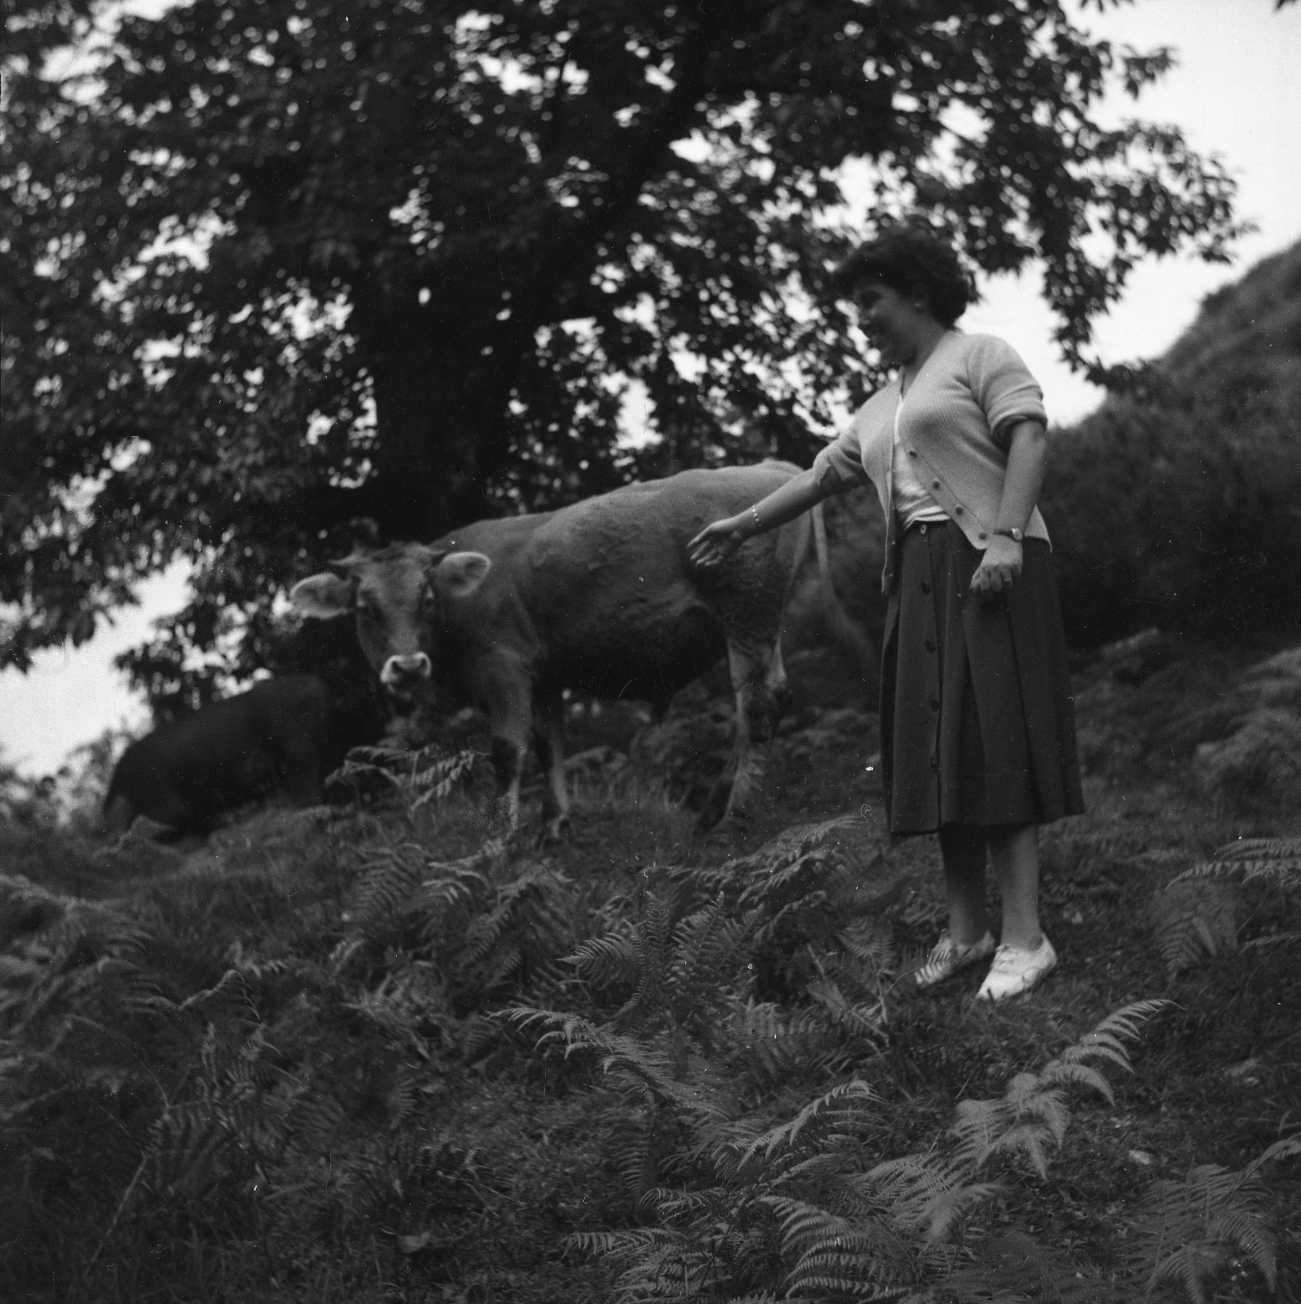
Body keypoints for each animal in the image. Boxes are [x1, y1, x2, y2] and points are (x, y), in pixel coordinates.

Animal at [288, 464, 834, 839]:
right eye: (364, 608)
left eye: (426, 598)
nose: (406, 665)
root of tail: (772, 468)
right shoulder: (543, 676)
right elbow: (549, 744)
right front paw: (554, 826)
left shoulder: (504, 669)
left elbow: (508, 751)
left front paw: (498, 842)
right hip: (761, 623)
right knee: (771, 698)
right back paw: (711, 811)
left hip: (746, 612)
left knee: (755, 707)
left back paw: (734, 816)